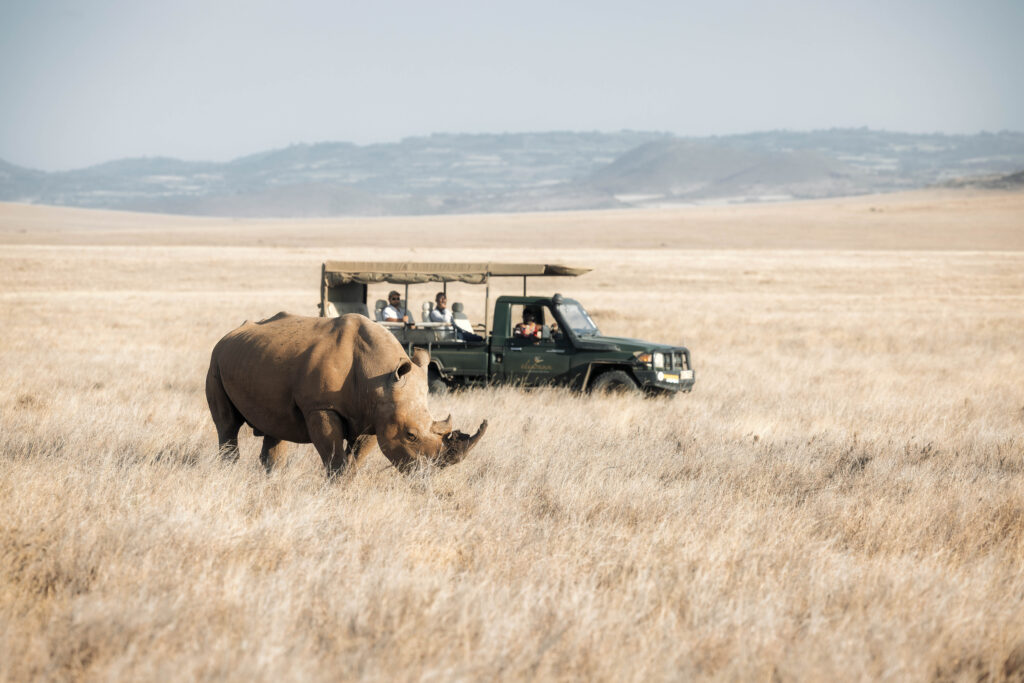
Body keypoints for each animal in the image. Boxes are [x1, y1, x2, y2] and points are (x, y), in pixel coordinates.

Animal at [205, 312, 487, 475]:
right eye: (411, 435)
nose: (428, 474)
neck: (380, 379)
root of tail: (229, 334)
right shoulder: (320, 407)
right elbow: (333, 457)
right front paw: (336, 487)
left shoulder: (376, 415)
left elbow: (355, 460)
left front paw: (348, 486)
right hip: (216, 360)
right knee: (227, 425)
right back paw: (229, 472)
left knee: (274, 428)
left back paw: (271, 477)